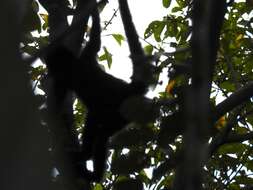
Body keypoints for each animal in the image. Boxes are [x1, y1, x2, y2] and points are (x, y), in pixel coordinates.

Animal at [45, 0, 153, 182]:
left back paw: (91, 168)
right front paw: (92, 8)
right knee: (95, 121)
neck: (74, 66)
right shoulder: (86, 56)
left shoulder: (66, 75)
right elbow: (96, 39)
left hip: (120, 114)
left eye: (50, 63)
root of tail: (129, 89)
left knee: (101, 132)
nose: (48, 69)